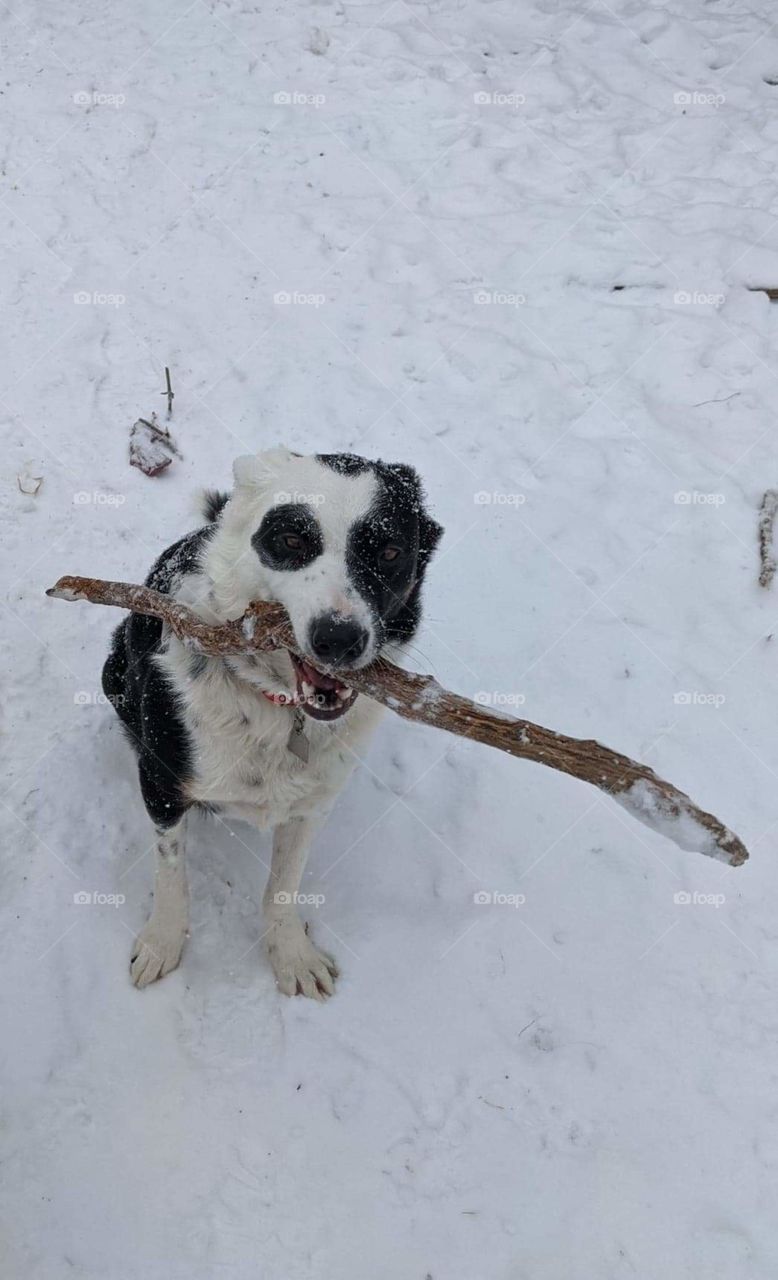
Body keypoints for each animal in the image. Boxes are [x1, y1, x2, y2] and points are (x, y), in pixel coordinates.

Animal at [103, 450, 442, 998]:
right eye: (291, 541)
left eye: (391, 552)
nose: (338, 639)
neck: (280, 706)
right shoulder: (162, 784)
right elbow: (171, 874)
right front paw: (162, 942)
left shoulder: (311, 804)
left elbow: (283, 887)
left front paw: (291, 956)